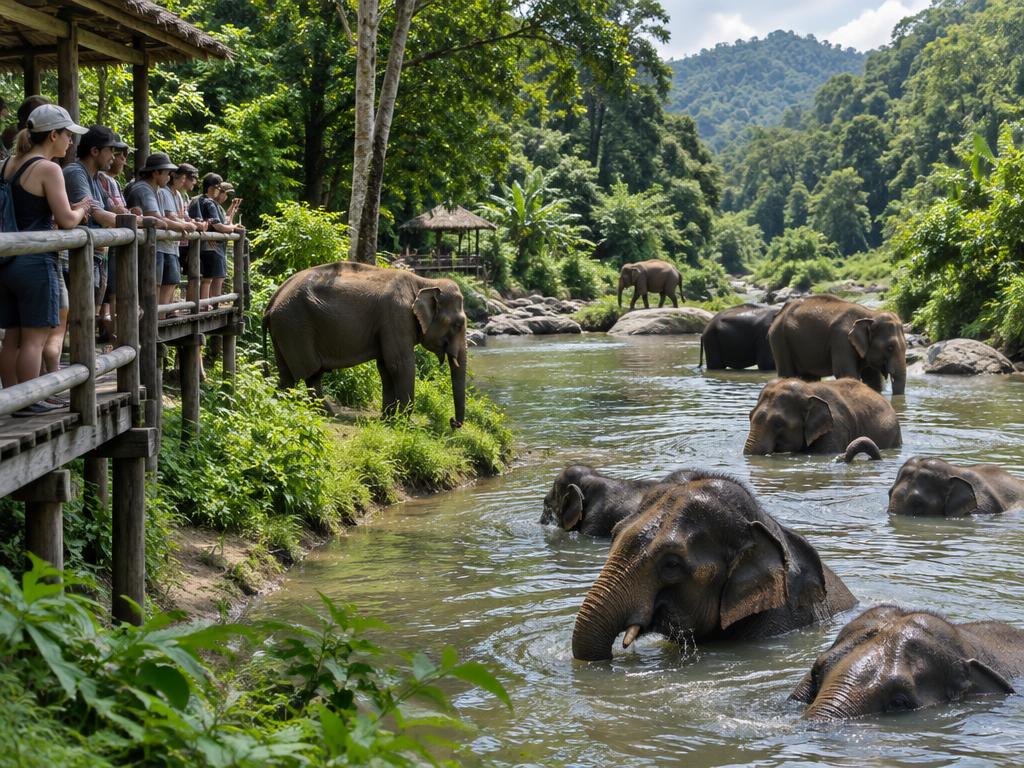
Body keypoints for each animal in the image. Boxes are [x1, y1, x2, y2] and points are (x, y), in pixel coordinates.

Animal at [262, 262, 466, 427]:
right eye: (458, 325)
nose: (453, 422)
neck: (424, 282)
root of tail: (272, 300)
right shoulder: (395, 316)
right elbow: (399, 364)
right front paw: (404, 424)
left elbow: (385, 367)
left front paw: (388, 420)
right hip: (294, 327)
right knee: (309, 373)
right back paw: (322, 413)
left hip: (284, 330)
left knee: (291, 375)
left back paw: (293, 406)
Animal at [768, 294, 907, 395]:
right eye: (890, 348)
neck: (870, 314)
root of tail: (780, 312)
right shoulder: (841, 340)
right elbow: (846, 373)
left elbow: (872, 379)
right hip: (779, 338)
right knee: (787, 372)